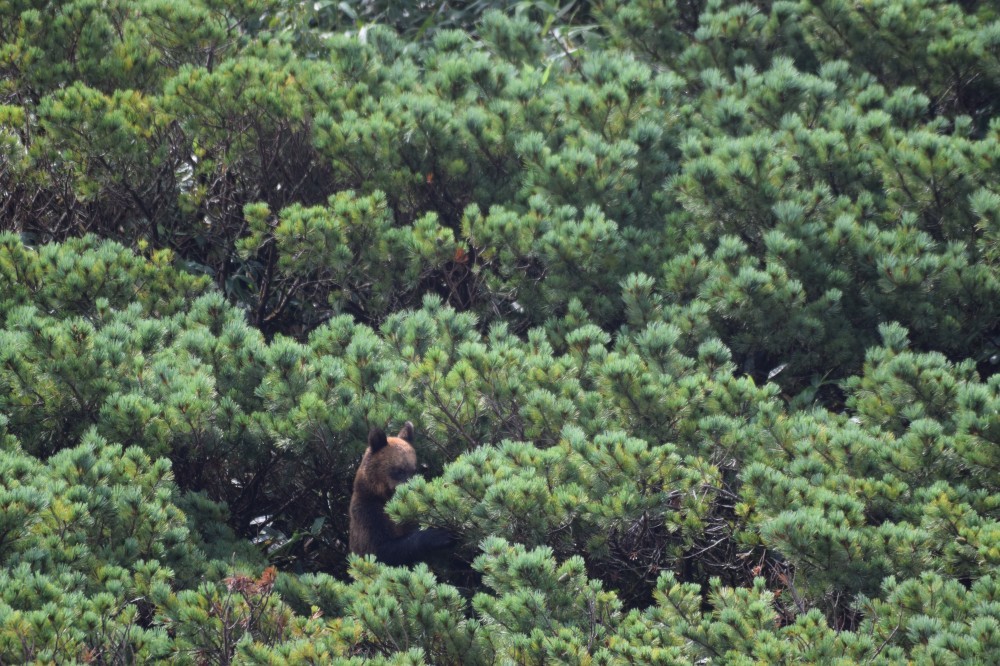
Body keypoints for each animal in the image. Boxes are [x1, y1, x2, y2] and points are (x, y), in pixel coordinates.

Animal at [348, 418, 450, 564]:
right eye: (399, 470)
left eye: (414, 470)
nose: (411, 489)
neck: (383, 496)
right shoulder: (368, 513)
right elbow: (378, 551)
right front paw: (438, 535)